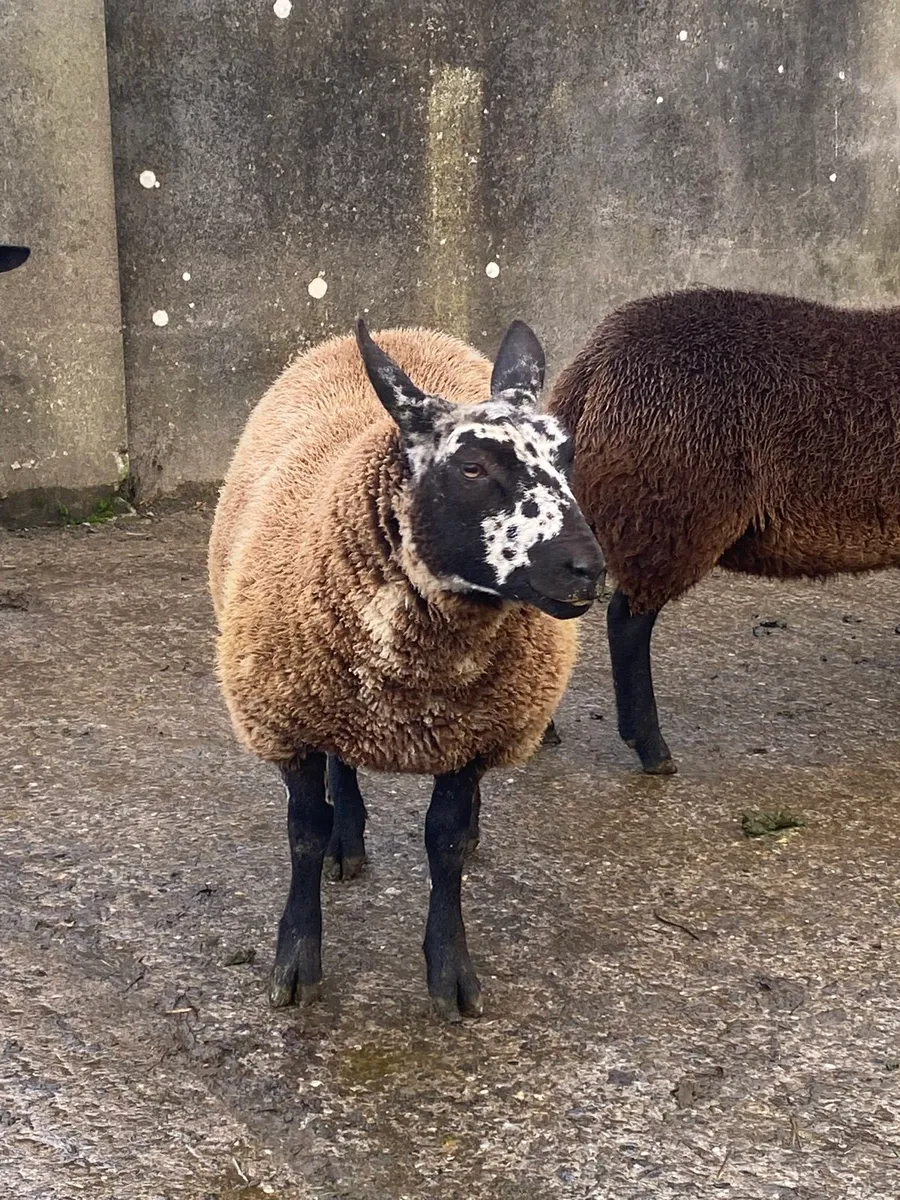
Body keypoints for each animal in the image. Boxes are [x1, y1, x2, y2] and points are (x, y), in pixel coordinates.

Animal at [209, 319, 604, 1021]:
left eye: (568, 457)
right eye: (471, 466)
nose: (587, 569)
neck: (416, 677)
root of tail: (403, 330)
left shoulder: (474, 730)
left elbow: (442, 842)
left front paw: (450, 972)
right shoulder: (287, 718)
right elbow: (303, 833)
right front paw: (297, 962)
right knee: (343, 764)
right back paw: (347, 840)